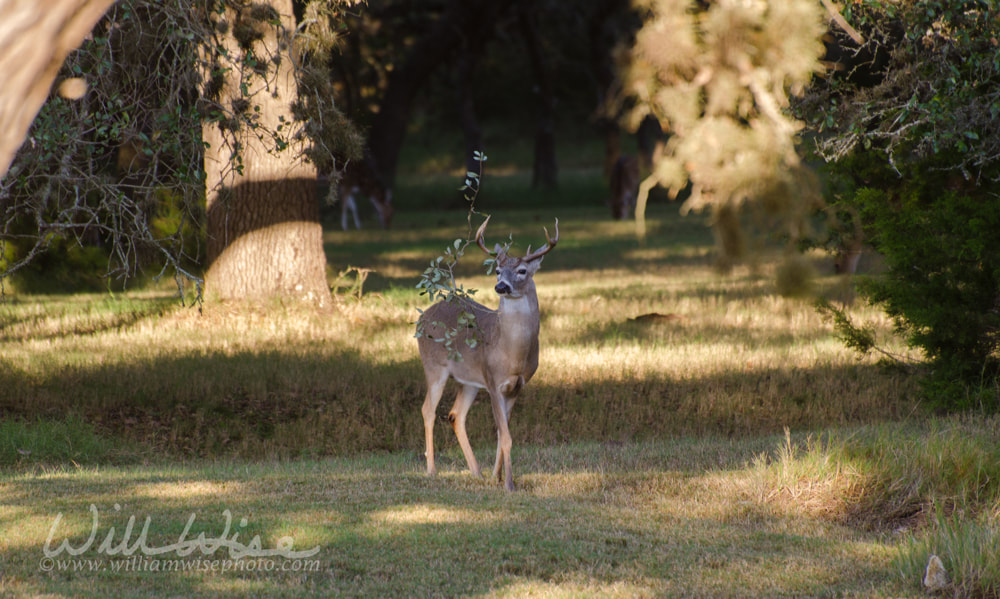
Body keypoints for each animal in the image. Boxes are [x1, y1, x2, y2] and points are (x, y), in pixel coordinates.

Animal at [416, 216, 564, 492]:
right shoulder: (493, 381)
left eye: (522, 271)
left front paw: (497, 477)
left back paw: (477, 473)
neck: (512, 355)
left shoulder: (517, 386)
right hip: (434, 366)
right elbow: (506, 436)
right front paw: (509, 484)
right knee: (428, 409)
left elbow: (500, 434)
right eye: (497, 270)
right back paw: (431, 470)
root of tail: (421, 317)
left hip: (468, 380)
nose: (501, 286)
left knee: (455, 415)